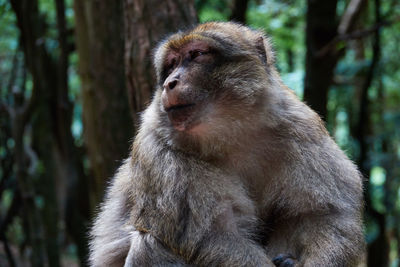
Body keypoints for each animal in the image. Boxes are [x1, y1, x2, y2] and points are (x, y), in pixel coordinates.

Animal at [89, 22, 364, 267]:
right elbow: (213, 236)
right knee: (151, 245)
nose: (170, 83)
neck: (230, 133)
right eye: (171, 65)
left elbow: (324, 214)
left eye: (197, 55)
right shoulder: (158, 148)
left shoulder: (300, 127)